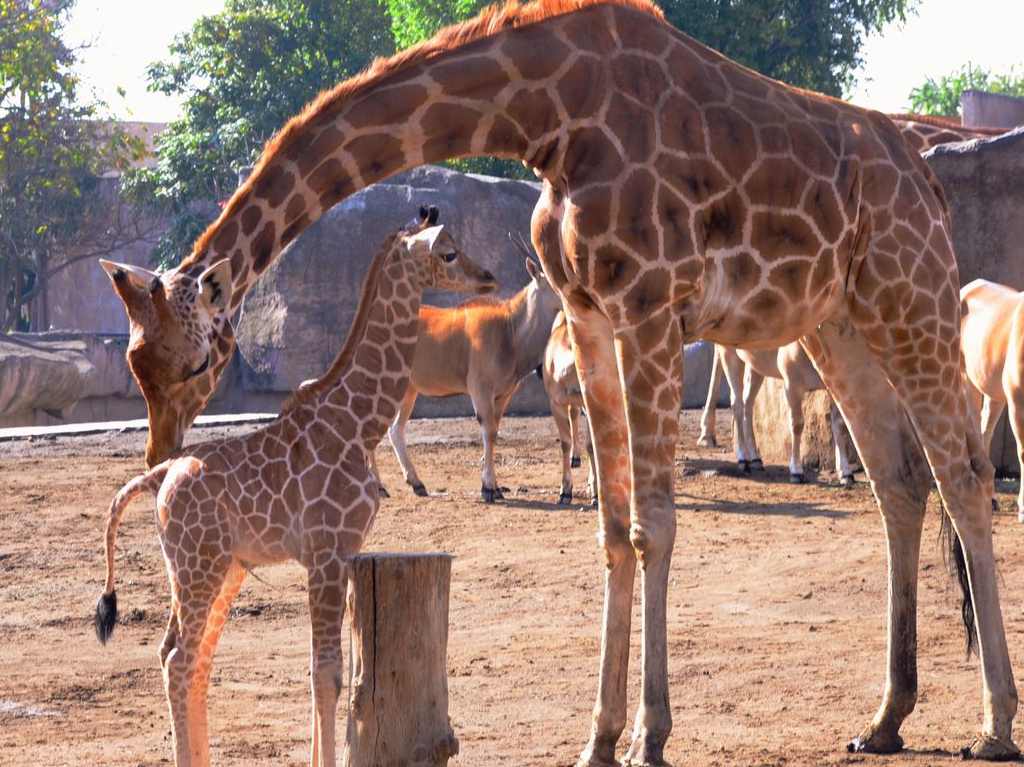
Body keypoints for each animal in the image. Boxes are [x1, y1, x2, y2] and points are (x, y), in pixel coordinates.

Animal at [93, 204, 495, 765]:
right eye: (449, 252)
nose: (489, 277)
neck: (359, 423)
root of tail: (159, 475)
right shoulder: (327, 551)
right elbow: (326, 674)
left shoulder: (340, 554)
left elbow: (323, 672)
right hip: (198, 565)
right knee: (179, 658)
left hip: (219, 568)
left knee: (189, 657)